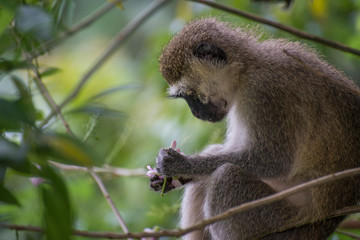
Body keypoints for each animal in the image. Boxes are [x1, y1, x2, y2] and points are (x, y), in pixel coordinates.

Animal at [148, 17, 360, 239]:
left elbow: (272, 161)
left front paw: (179, 165)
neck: (246, 68)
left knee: (225, 177)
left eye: (191, 95)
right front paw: (170, 179)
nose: (196, 114)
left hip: (278, 218)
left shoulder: (263, 92)